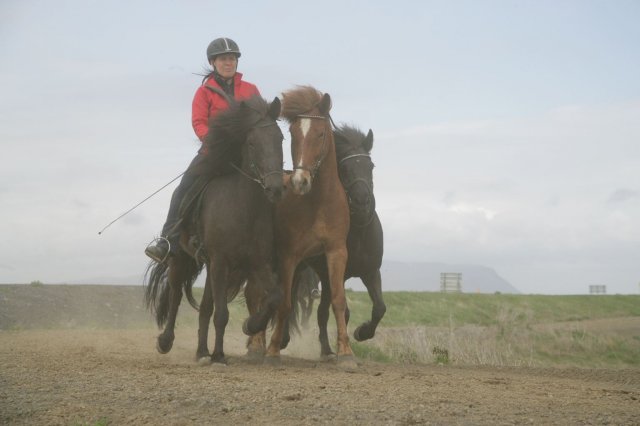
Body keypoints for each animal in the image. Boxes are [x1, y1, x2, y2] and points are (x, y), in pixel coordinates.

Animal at [146, 95, 286, 362]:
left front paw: (250, 325)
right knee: (176, 295)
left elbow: (275, 297)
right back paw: (166, 341)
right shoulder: (221, 261)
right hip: (182, 258)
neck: (244, 208)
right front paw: (219, 356)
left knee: (205, 308)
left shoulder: (257, 263)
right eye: (252, 142)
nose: (275, 188)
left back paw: (202, 352)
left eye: (280, 138)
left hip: (210, 266)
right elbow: (221, 314)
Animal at [264, 85, 356, 366]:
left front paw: (345, 352)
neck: (318, 203)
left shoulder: (336, 252)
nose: (300, 182)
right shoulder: (288, 256)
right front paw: (272, 351)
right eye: (293, 134)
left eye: (320, 133)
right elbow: (283, 303)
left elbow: (338, 300)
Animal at [290, 125, 384, 358]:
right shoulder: (338, 274)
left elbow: (379, 308)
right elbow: (343, 310)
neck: (359, 232)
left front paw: (362, 332)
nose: (361, 202)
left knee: (320, 311)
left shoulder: (371, 271)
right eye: (344, 167)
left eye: (370, 166)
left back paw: (325, 349)